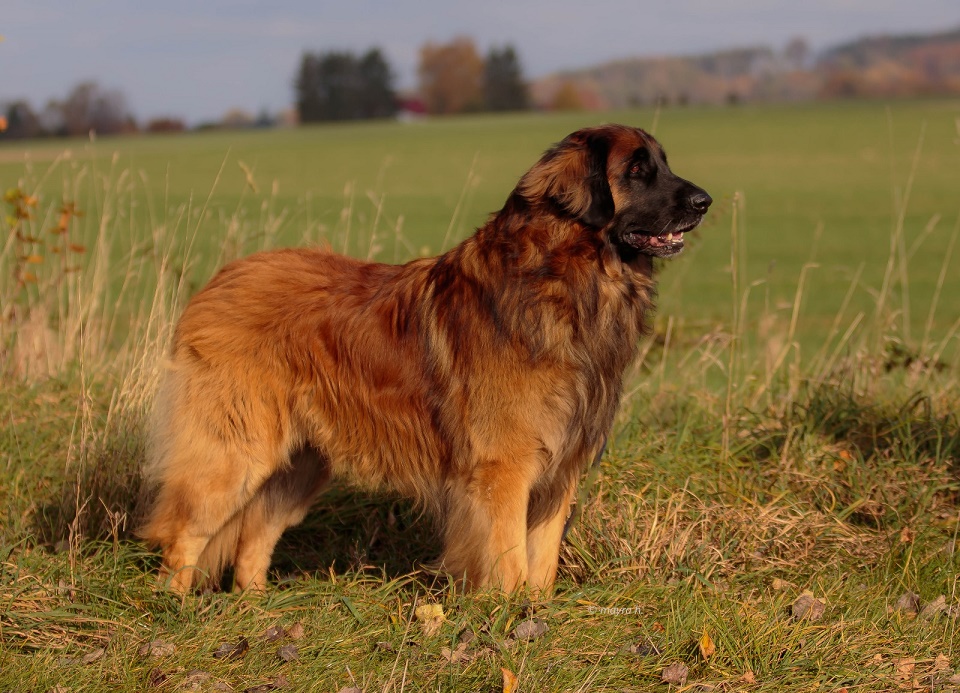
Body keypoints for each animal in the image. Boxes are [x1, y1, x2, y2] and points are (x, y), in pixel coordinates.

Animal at [141, 125, 712, 596]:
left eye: (662, 163)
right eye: (636, 170)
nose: (705, 201)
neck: (566, 276)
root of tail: (219, 280)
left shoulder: (559, 470)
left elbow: (542, 562)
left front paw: (538, 615)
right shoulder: (504, 468)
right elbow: (510, 561)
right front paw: (510, 617)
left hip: (301, 462)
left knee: (255, 530)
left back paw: (256, 605)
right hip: (235, 451)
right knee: (183, 530)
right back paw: (177, 606)